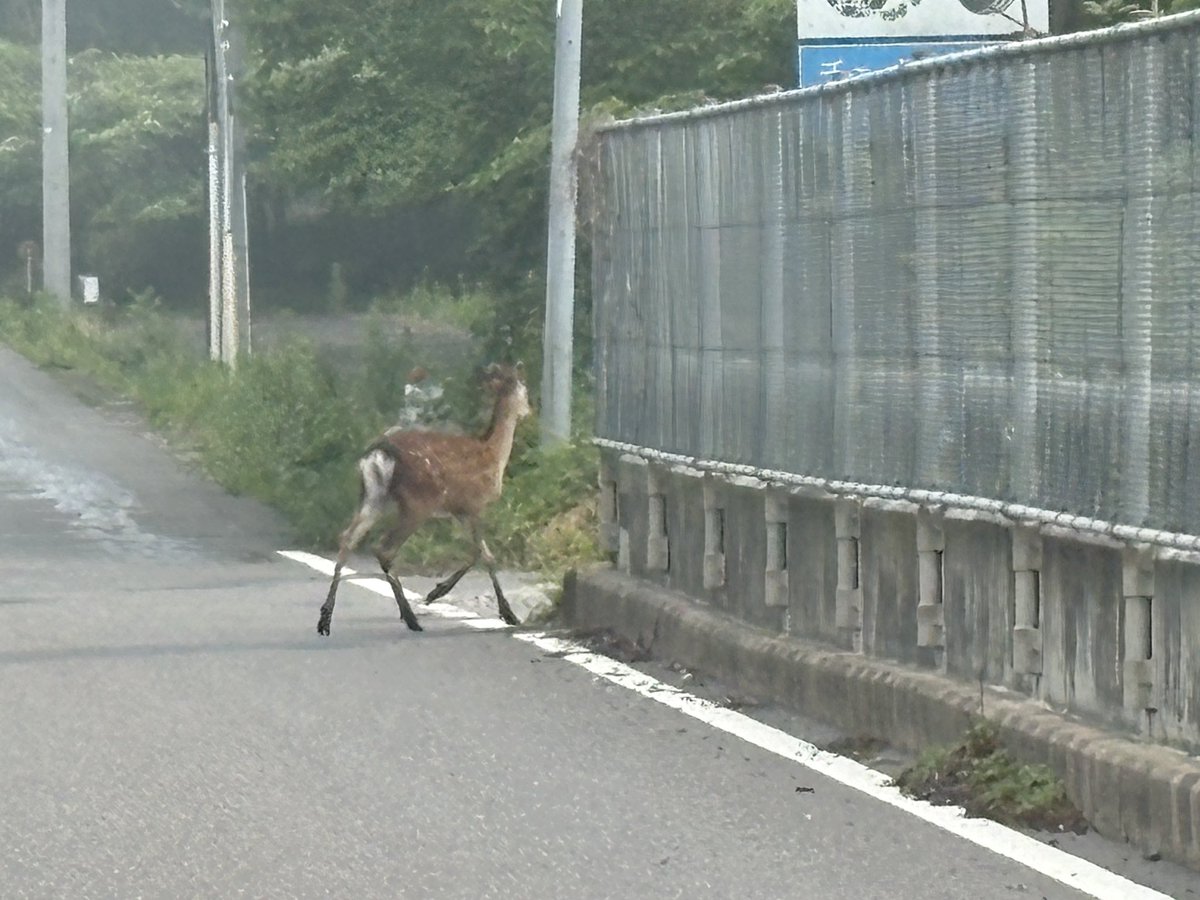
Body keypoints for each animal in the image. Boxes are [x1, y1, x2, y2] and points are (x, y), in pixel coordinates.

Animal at [317, 362, 533, 637]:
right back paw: (411, 618)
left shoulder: (459, 511)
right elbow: (481, 553)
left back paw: (325, 619)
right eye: (524, 388)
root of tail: (379, 453)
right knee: (384, 548)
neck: (494, 454)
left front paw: (508, 613)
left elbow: (485, 554)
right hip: (416, 503)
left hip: (373, 497)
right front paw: (438, 593)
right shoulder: (472, 505)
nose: (529, 411)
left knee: (347, 539)